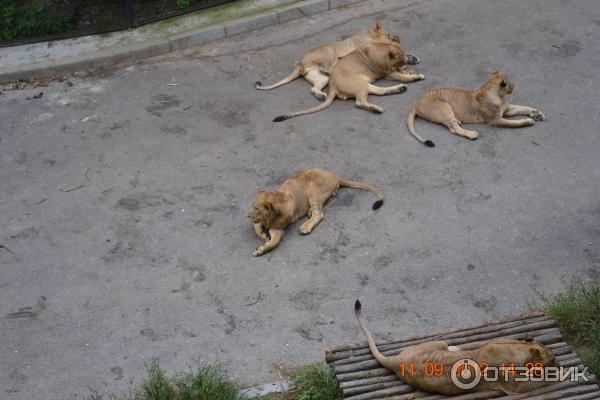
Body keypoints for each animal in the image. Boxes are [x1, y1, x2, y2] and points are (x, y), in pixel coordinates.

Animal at [247, 168, 384, 256]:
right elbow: (258, 228)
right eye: (252, 206)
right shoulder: (264, 223)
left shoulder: (278, 229)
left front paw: (260, 247)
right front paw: (263, 238)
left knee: (319, 213)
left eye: (257, 209)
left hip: (312, 189)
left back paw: (305, 226)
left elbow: (274, 242)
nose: (246, 215)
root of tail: (335, 176)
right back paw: (309, 212)